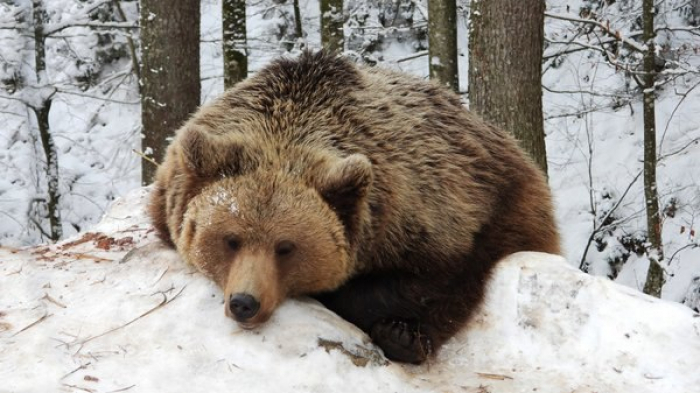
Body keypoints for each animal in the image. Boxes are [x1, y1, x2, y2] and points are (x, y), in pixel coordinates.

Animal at [150, 50, 560, 362]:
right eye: (230, 239)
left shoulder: (429, 213)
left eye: (286, 246)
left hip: (513, 198)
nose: (245, 303)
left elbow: (434, 279)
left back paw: (403, 338)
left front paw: (394, 326)